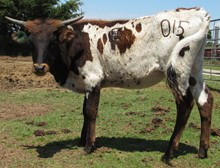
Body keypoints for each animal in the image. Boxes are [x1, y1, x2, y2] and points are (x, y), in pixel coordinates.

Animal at [5, 7, 213, 163]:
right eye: (31, 40)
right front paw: (82, 139)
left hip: (177, 70)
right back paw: (202, 150)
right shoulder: (87, 83)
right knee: (205, 100)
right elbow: (84, 111)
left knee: (185, 104)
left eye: (53, 40)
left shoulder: (93, 80)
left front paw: (89, 146)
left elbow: (91, 112)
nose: (39, 67)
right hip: (194, 70)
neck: (77, 43)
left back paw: (169, 152)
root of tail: (196, 12)